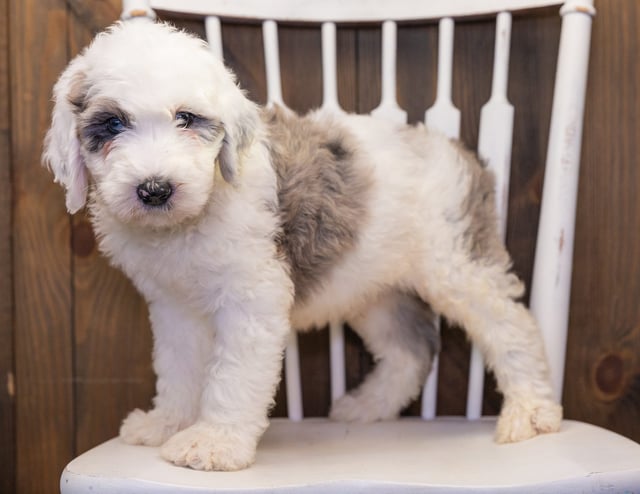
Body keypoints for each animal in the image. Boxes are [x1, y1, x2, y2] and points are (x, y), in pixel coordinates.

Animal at [43, 21, 560, 472]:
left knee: (511, 327)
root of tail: (462, 153)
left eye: (186, 118)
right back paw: (367, 407)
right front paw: (167, 424)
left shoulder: (252, 298)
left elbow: (233, 375)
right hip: (369, 285)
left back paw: (531, 412)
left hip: (458, 264)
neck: (197, 210)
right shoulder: (175, 307)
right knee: (410, 351)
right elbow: (178, 369)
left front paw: (214, 443)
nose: (155, 190)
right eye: (112, 125)